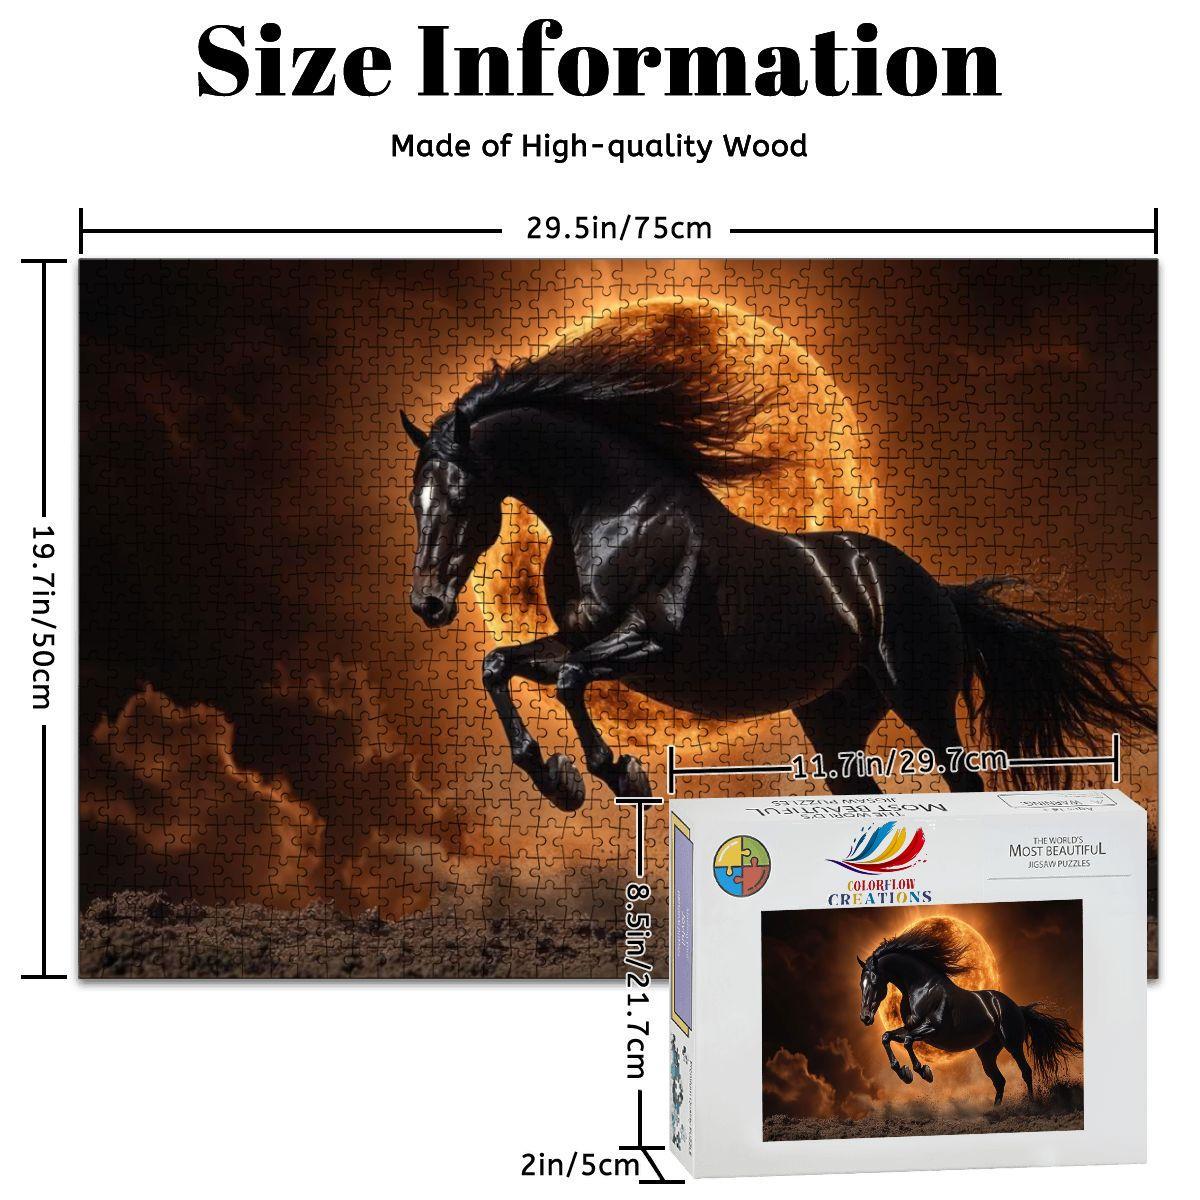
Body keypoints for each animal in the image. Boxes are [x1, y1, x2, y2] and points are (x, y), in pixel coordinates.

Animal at [402, 306, 1154, 810]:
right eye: (415, 496)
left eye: (462, 495)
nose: (428, 603)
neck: (613, 513)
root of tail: (941, 592)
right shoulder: (576, 637)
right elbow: (500, 664)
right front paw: (556, 780)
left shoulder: (649, 642)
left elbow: (567, 681)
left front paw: (618, 774)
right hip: (834, 723)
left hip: (924, 706)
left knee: (963, 784)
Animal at [857, 924, 1083, 1104]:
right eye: (861, 984)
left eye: (874, 981)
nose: (865, 1017)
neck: (921, 988)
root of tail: (1017, 1007)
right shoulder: (911, 1027)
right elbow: (887, 1036)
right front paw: (904, 1073)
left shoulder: (931, 1028)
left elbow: (907, 1042)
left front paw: (923, 1072)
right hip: (986, 1051)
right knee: (999, 1081)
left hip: (1012, 1044)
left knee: (1026, 1071)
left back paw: (1031, 1106)